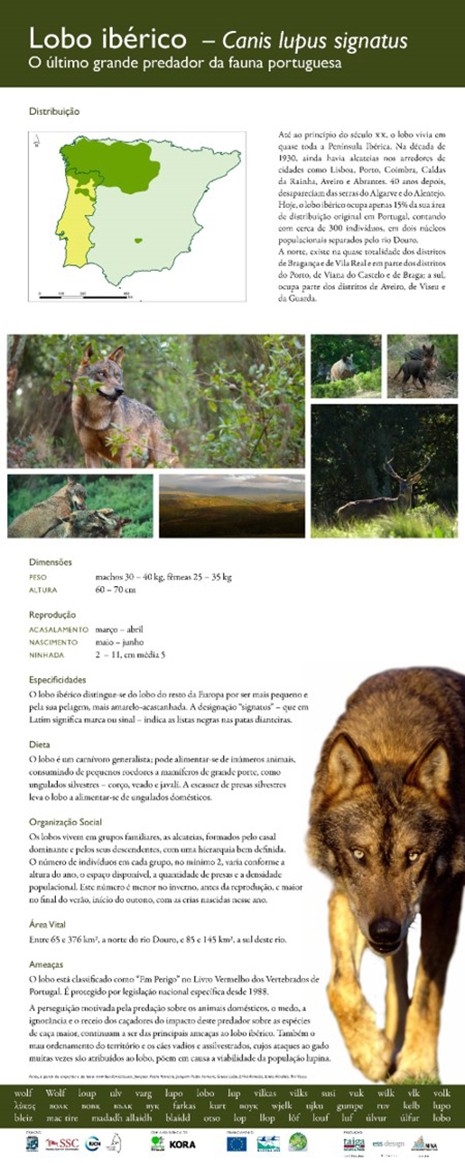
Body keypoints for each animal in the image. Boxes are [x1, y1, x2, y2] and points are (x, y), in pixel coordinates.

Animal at [307, 667, 465, 1082]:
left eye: (413, 855)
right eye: (358, 854)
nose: (383, 932)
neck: (393, 745)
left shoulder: (446, 899)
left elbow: (427, 992)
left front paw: (417, 1068)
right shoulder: (347, 895)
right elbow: (339, 985)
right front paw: (372, 1054)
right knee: (395, 986)